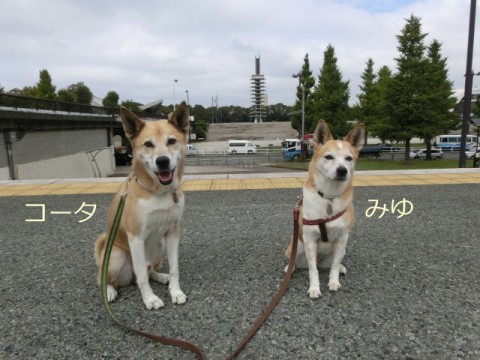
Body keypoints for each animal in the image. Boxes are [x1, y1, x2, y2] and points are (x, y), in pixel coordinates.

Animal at [94, 101, 189, 310]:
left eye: (171, 141)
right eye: (148, 144)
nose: (162, 161)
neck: (158, 192)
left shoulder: (173, 232)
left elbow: (175, 268)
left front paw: (175, 291)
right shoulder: (135, 237)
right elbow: (142, 277)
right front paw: (150, 299)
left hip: (158, 246)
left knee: (149, 269)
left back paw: (162, 277)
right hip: (115, 257)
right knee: (109, 278)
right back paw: (109, 291)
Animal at [284, 120, 364, 298]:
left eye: (349, 158)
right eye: (328, 157)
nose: (342, 170)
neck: (329, 197)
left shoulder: (342, 238)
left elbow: (334, 266)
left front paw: (334, 282)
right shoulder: (309, 239)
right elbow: (313, 270)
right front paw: (314, 288)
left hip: (343, 249)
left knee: (334, 263)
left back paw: (340, 268)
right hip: (296, 244)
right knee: (295, 261)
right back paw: (289, 268)